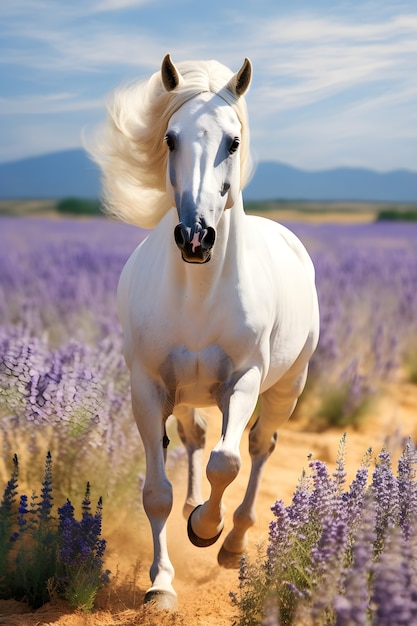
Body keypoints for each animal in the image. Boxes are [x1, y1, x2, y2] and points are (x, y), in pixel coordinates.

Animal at [93, 56, 318, 608]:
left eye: (233, 142)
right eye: (170, 138)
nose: (195, 237)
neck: (198, 291)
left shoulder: (244, 379)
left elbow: (226, 462)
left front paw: (205, 529)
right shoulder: (149, 387)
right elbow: (157, 493)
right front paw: (160, 584)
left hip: (286, 387)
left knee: (258, 448)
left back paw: (233, 543)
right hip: (185, 392)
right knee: (193, 436)